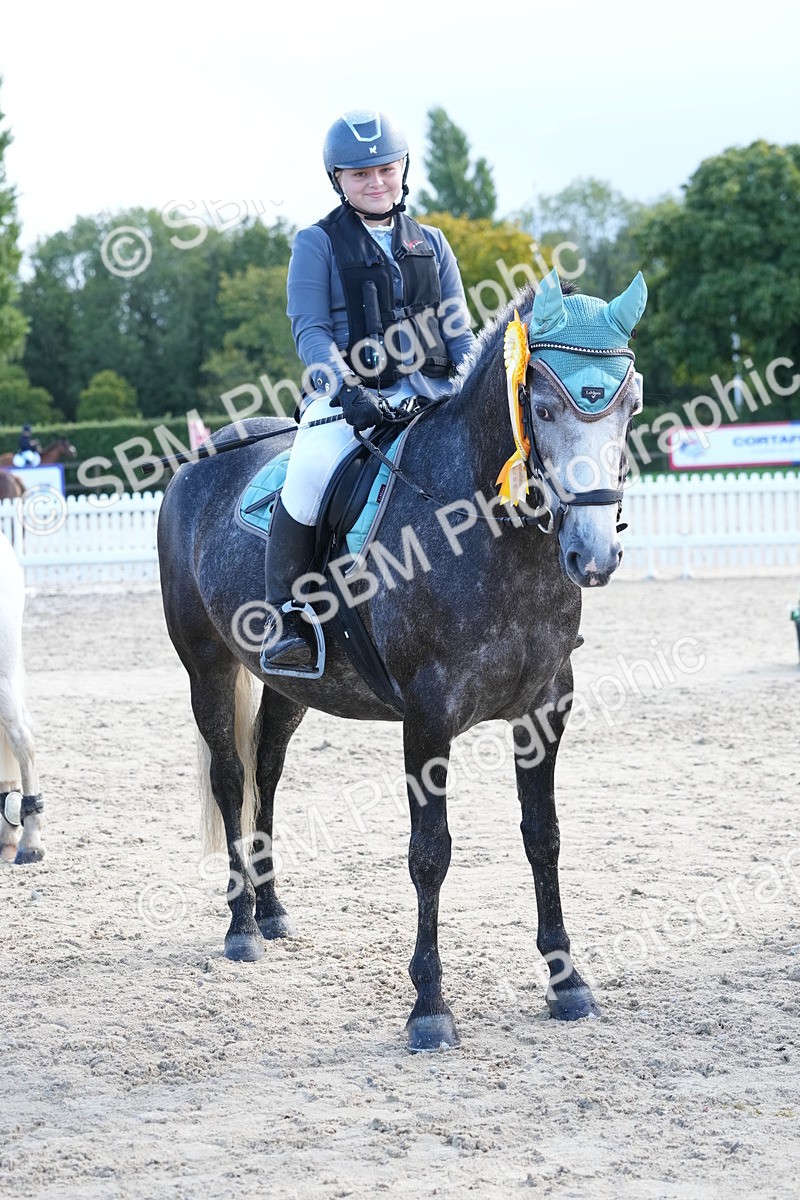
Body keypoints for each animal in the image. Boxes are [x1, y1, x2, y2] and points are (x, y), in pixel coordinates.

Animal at [157, 268, 647, 1051]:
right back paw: (240, 925)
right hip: (206, 666)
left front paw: (567, 981)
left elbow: (543, 838)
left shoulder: (544, 710)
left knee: (268, 771)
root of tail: (199, 462)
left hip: (289, 684)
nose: (594, 555)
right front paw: (429, 1007)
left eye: (629, 406)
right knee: (232, 780)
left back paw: (271, 909)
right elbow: (430, 853)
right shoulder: (428, 716)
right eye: (541, 406)